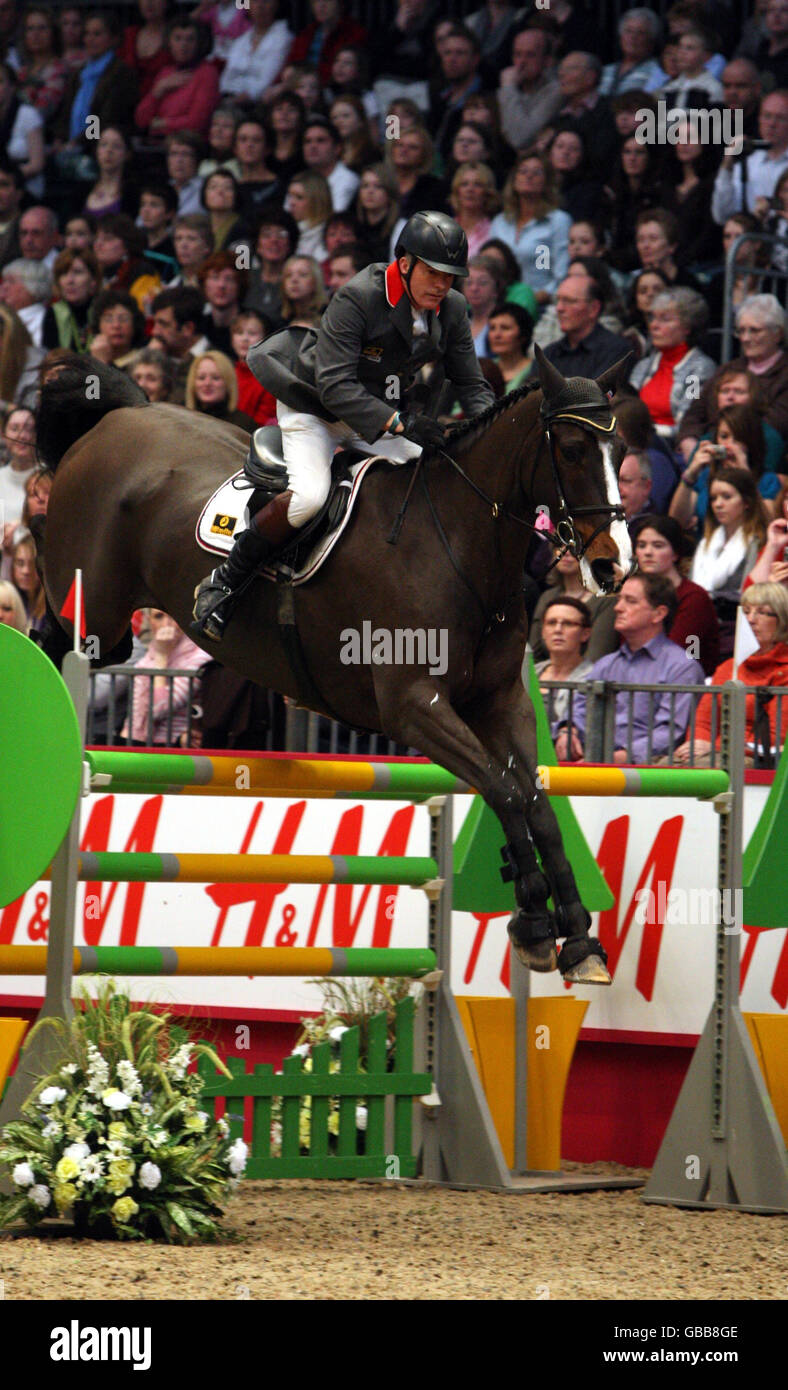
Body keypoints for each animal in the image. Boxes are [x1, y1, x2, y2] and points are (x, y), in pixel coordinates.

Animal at [37, 347, 636, 989]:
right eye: (571, 449)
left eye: (621, 451)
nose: (613, 566)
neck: (459, 543)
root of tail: (124, 415)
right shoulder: (414, 708)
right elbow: (505, 792)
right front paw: (536, 923)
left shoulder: (499, 704)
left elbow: (536, 804)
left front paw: (574, 940)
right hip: (94, 616)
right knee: (54, 644)